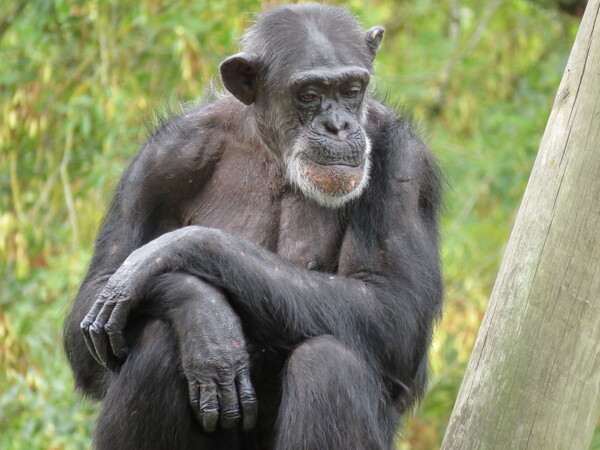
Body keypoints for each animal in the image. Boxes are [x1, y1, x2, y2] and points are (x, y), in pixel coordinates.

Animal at [63, 4, 442, 450]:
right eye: (309, 95)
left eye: (351, 89)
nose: (338, 126)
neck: (276, 151)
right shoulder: (158, 163)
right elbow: (93, 310)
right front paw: (204, 318)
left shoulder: (405, 163)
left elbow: (392, 306)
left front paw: (175, 251)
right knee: (156, 342)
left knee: (330, 361)